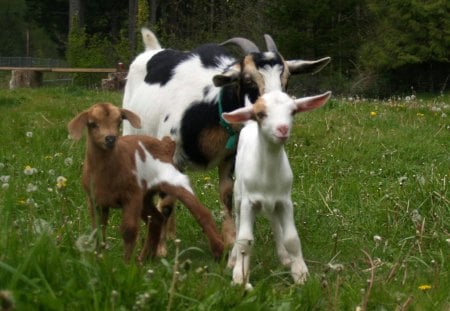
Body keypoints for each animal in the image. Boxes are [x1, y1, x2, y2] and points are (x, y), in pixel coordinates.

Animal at [123, 28, 330, 249]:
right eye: (247, 80)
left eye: (287, 79)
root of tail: (152, 50)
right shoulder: (171, 154)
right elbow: (167, 202)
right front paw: (159, 248)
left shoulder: (230, 157)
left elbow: (226, 193)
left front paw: (230, 239)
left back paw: (171, 236)